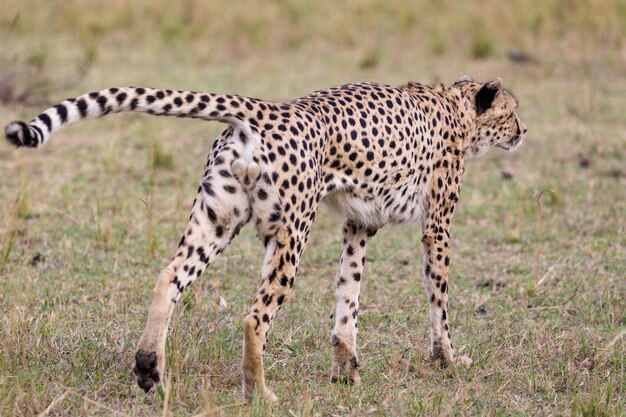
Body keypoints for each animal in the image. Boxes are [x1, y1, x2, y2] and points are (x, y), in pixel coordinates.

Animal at [4, 75, 524, 400]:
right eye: (512, 112)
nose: (522, 131)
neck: (454, 105)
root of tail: (272, 109)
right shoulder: (437, 224)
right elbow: (439, 298)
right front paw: (447, 360)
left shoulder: (360, 224)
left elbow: (348, 297)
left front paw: (346, 371)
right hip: (291, 233)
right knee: (255, 317)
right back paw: (259, 392)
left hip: (216, 221)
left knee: (168, 276)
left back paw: (149, 366)